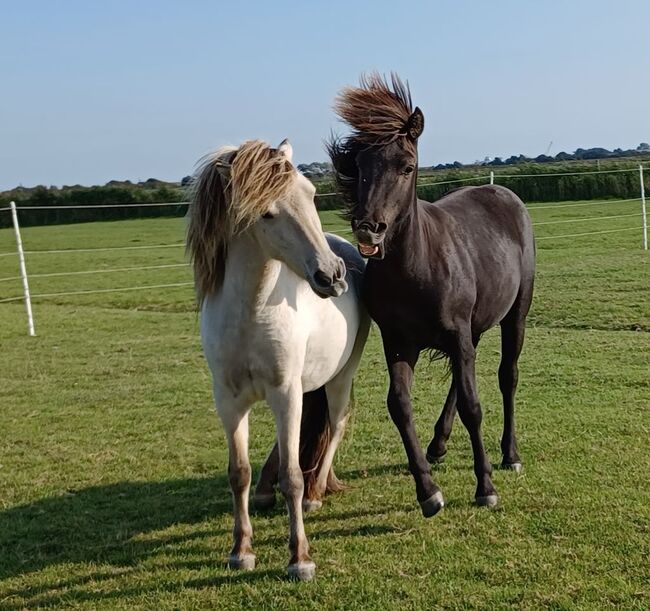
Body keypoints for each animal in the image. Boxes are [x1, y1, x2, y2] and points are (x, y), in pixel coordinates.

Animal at [187, 140, 370, 584]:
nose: (332, 275)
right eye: (266, 213)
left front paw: (300, 558)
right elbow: (238, 473)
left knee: (335, 426)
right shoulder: (230, 401)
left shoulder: (285, 394)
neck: (251, 312)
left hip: (339, 378)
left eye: (311, 193)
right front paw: (240, 551)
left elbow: (293, 477)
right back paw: (268, 491)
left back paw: (317, 493)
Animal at [326, 75, 536, 516]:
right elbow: (400, 405)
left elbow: (474, 406)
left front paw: (485, 486)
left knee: (507, 376)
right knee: (462, 375)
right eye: (360, 167)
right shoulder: (399, 342)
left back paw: (509, 454)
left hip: (515, 316)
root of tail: (504, 195)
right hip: (470, 330)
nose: (369, 227)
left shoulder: (457, 333)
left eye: (406, 166)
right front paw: (428, 491)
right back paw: (438, 444)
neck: (414, 268)